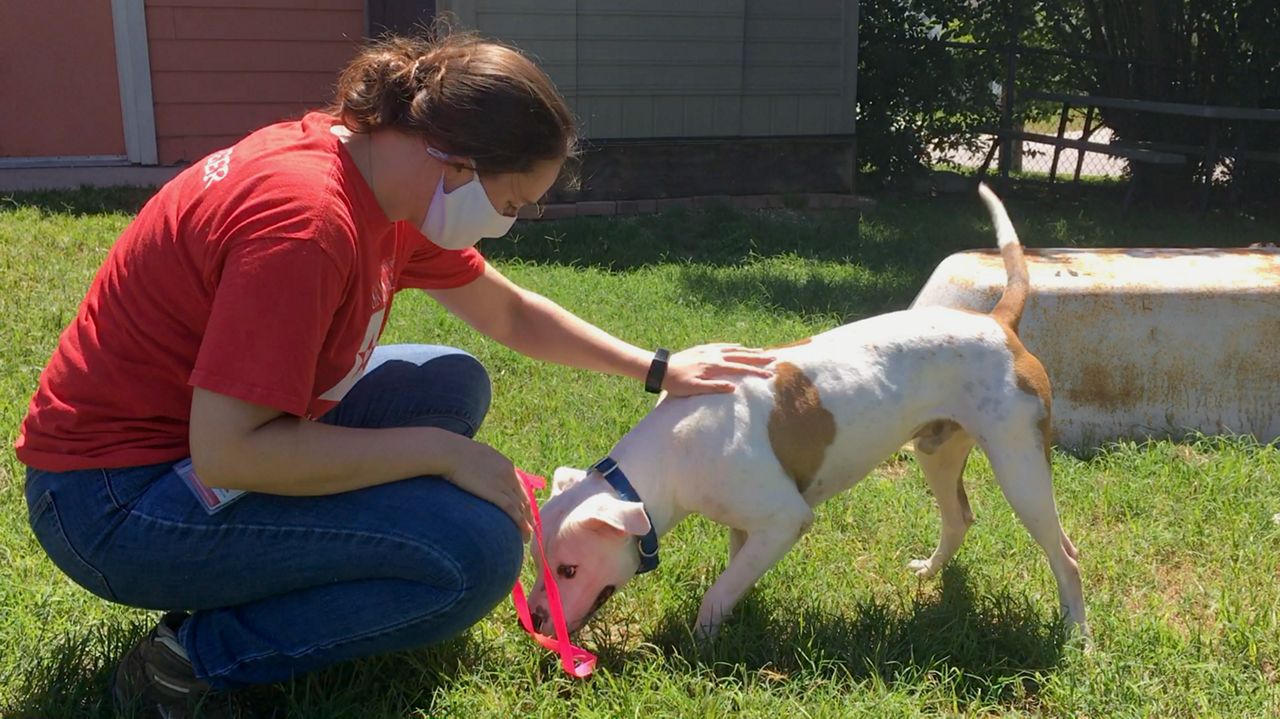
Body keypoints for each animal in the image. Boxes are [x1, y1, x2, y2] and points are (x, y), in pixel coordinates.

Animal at [529, 184, 1090, 637]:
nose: (533, 620)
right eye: (537, 562)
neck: (665, 459)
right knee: (959, 518)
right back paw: (929, 574)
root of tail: (998, 322)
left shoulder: (784, 519)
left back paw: (1076, 637)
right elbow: (735, 573)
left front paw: (704, 640)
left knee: (1065, 554)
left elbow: (717, 592)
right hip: (938, 450)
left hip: (1020, 465)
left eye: (569, 569)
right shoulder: (748, 524)